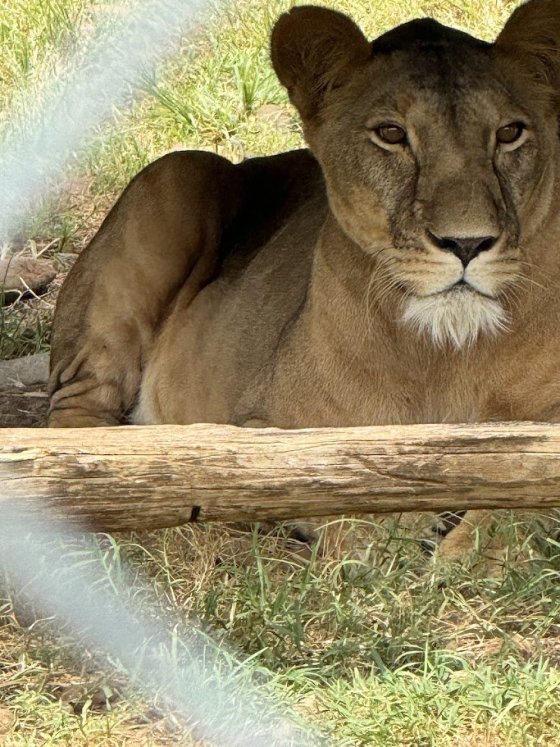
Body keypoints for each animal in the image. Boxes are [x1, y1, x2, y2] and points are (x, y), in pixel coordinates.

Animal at [48, 0, 560, 562]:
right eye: (392, 134)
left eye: (509, 133)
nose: (467, 244)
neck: (444, 353)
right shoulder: (261, 429)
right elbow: (339, 483)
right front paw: (404, 535)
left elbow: (521, 510)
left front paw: (463, 553)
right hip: (177, 173)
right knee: (73, 422)